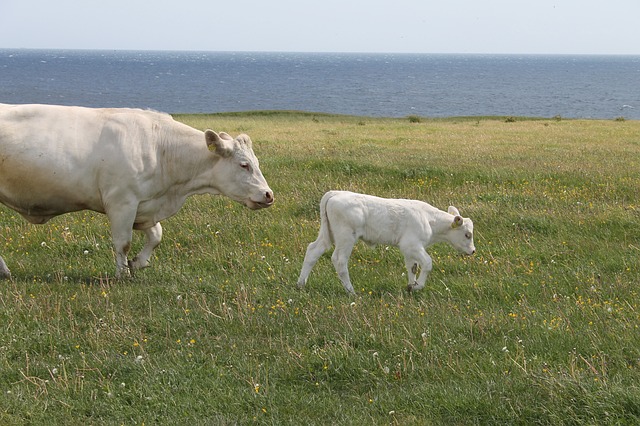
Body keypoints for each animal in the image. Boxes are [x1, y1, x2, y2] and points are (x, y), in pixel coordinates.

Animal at [0, 104, 272, 280]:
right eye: (244, 165)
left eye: (256, 162)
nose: (269, 194)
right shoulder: (122, 203)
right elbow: (123, 243)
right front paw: (122, 274)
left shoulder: (144, 206)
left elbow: (156, 236)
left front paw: (138, 263)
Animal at [296, 191, 476, 294]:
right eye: (467, 234)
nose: (473, 251)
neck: (429, 219)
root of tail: (335, 194)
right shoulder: (412, 245)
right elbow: (427, 263)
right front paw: (418, 286)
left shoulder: (409, 250)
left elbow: (412, 267)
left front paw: (410, 286)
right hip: (345, 237)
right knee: (339, 260)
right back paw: (351, 291)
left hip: (328, 235)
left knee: (313, 251)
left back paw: (301, 284)